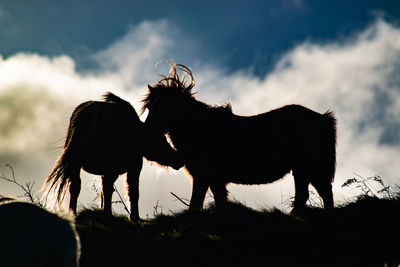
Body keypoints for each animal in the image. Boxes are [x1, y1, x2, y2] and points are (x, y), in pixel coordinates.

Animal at [43, 93, 184, 221]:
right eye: (162, 140)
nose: (179, 160)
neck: (139, 136)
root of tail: (89, 113)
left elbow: (104, 190)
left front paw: (106, 212)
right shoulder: (132, 166)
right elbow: (131, 192)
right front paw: (133, 217)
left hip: (75, 161)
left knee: (75, 186)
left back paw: (73, 213)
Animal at [142, 63, 336, 215]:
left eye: (164, 107)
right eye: (150, 106)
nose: (147, 131)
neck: (200, 128)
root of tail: (322, 118)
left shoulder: (202, 176)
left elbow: (195, 204)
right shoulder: (216, 180)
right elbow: (219, 202)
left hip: (306, 167)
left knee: (313, 194)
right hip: (307, 169)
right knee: (319, 193)